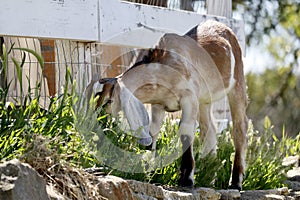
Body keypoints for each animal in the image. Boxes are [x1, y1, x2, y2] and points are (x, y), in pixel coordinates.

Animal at [86, 20, 248, 191]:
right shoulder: (158, 105)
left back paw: (235, 182)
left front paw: (186, 180)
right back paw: (209, 177)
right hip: (205, 100)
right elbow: (153, 132)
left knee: (240, 129)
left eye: (108, 101)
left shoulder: (189, 98)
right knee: (209, 129)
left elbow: (185, 131)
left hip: (238, 85)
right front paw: (148, 171)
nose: (98, 121)